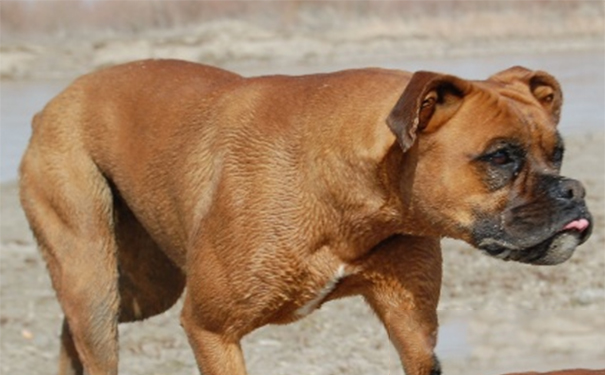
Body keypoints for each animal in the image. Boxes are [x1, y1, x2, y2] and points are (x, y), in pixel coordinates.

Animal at [17, 60, 588, 374]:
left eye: (557, 153)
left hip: (141, 290)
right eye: (500, 157)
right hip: (92, 271)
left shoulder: (412, 328)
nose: (575, 191)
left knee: (72, 332)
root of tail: (49, 106)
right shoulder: (211, 329)